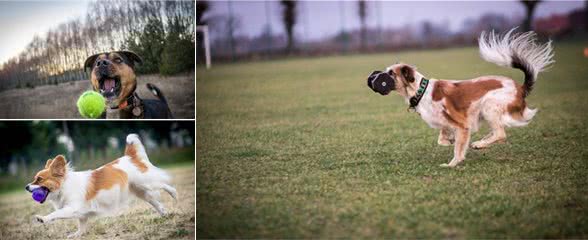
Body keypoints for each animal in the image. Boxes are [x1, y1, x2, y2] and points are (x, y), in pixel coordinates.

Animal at [24, 134, 177, 237]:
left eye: (39, 179)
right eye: (35, 179)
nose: (26, 187)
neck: (64, 186)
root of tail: (129, 157)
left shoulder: (72, 208)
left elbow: (56, 214)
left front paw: (43, 219)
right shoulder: (81, 213)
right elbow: (82, 225)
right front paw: (77, 235)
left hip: (146, 182)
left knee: (163, 183)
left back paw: (174, 194)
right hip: (141, 191)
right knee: (156, 202)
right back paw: (164, 214)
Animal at [368, 28, 556, 167]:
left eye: (391, 73)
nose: (375, 77)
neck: (421, 91)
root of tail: (520, 87)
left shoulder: (462, 124)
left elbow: (457, 147)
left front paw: (452, 163)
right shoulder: (447, 123)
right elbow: (442, 139)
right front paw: (451, 140)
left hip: (489, 105)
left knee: (501, 133)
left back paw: (480, 144)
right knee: (497, 131)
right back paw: (481, 141)